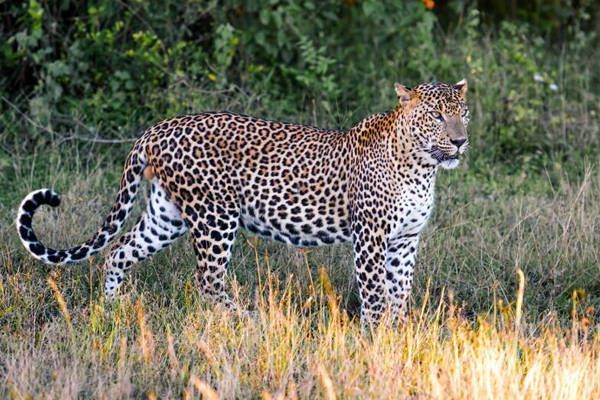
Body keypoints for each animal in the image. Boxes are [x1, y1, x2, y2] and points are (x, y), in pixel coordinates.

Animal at [15, 79, 468, 324]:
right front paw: (375, 338)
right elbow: (375, 295)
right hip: (215, 216)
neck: (421, 167)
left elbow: (400, 292)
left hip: (167, 215)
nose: (461, 141)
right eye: (435, 116)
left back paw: (112, 307)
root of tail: (157, 128)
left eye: (463, 113)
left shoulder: (404, 241)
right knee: (207, 281)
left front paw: (399, 332)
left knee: (119, 251)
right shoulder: (370, 239)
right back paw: (246, 319)